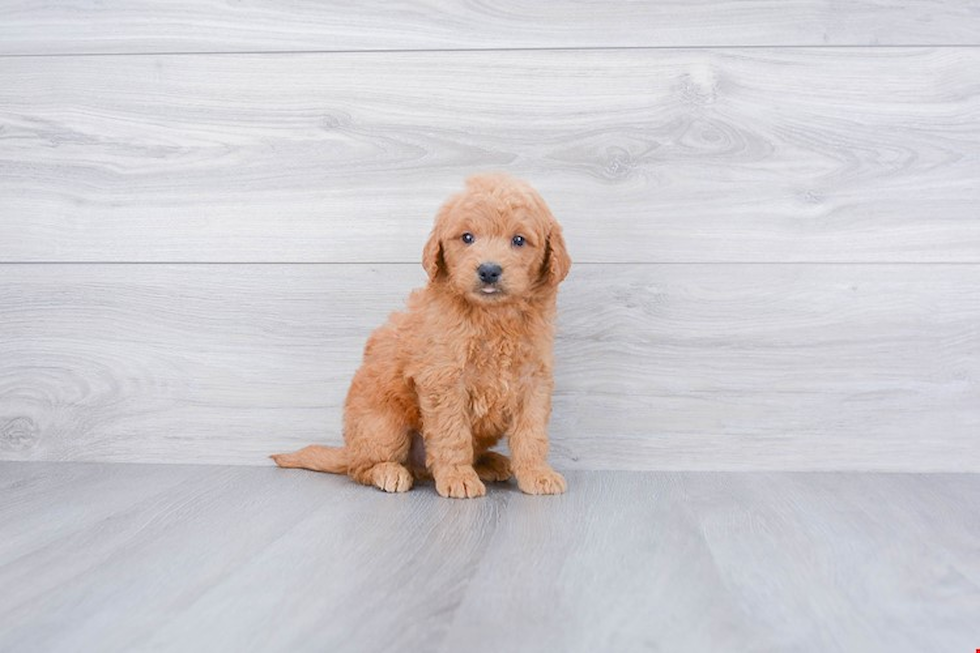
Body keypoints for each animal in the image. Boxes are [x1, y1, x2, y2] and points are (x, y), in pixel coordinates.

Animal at [272, 171, 572, 496]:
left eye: (519, 240)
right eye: (467, 237)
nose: (489, 271)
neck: (493, 316)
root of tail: (349, 449)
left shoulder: (534, 380)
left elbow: (532, 433)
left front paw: (537, 473)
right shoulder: (444, 380)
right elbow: (452, 435)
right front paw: (457, 477)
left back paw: (491, 463)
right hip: (383, 426)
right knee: (361, 467)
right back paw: (389, 471)